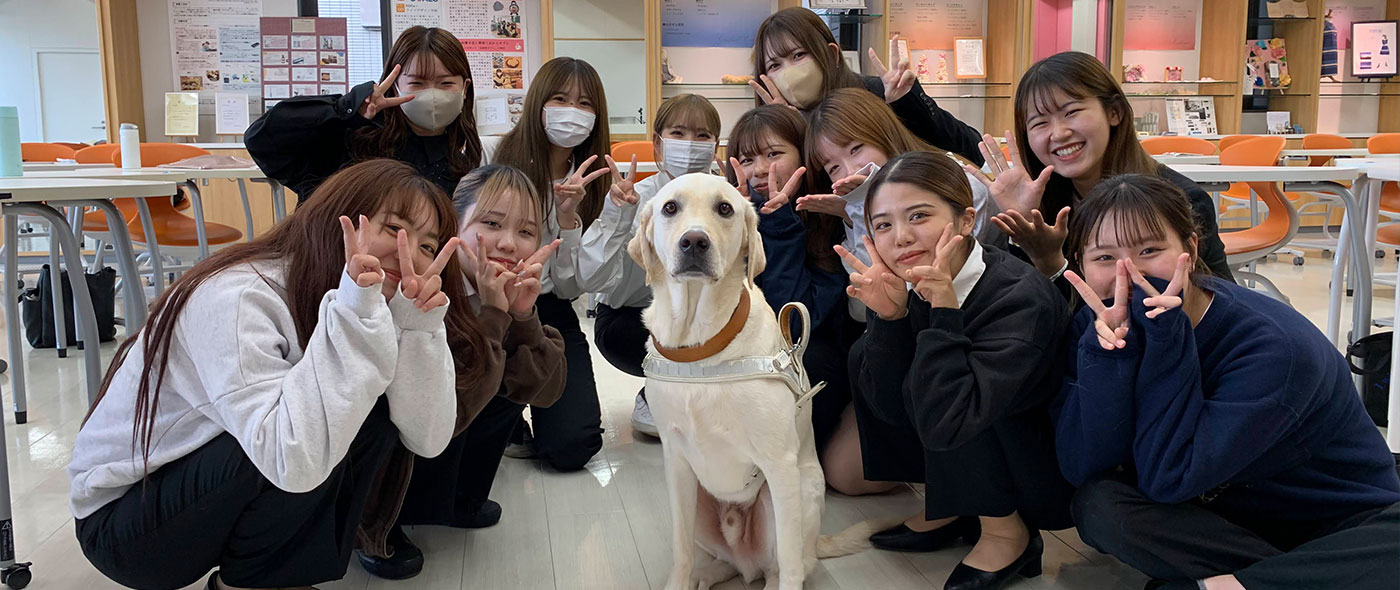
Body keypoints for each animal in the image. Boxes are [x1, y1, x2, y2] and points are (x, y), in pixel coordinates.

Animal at [630, 172, 868, 585]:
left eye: (725, 208)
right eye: (670, 207)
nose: (694, 241)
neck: (702, 348)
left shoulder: (778, 463)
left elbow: (789, 563)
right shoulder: (675, 461)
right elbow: (680, 551)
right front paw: (679, 582)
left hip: (791, 494)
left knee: (789, 563)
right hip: (700, 500)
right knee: (723, 562)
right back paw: (705, 575)